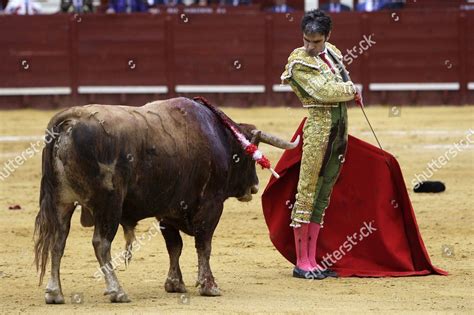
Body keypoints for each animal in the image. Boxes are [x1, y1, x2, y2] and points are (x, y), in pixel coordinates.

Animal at [35, 96, 298, 304]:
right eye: (248, 157)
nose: (254, 186)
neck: (219, 137)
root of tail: (70, 120)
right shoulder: (212, 206)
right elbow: (204, 244)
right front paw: (209, 286)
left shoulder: (167, 212)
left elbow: (175, 246)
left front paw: (175, 284)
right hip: (108, 204)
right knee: (101, 243)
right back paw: (117, 291)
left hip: (61, 202)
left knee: (57, 241)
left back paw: (54, 293)